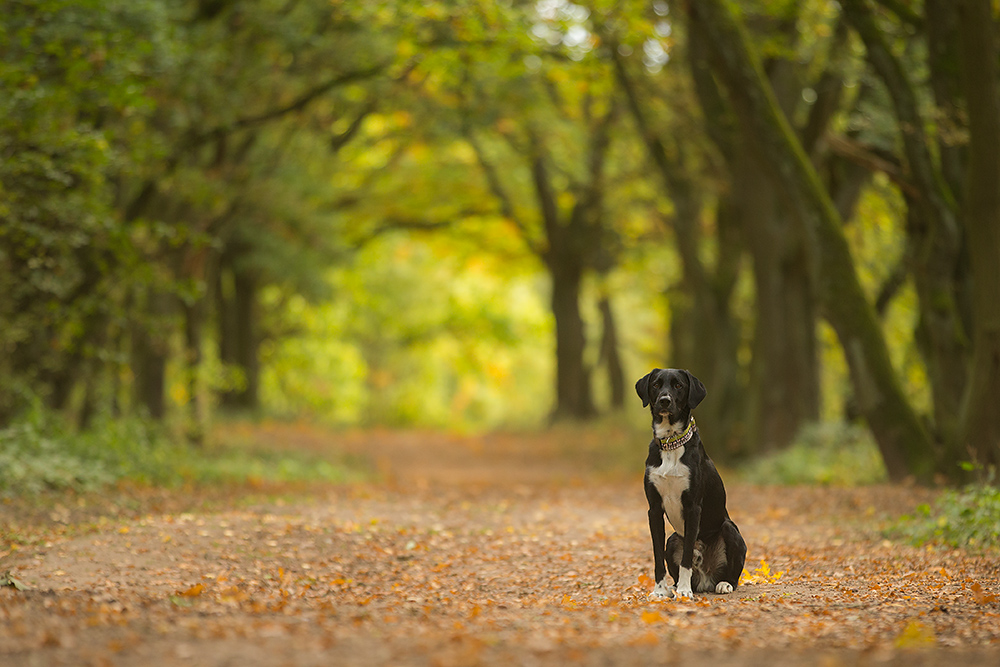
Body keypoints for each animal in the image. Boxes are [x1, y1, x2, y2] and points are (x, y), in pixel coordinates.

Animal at [636, 368, 748, 604]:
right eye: (656, 384)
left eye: (679, 385)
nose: (665, 400)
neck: (671, 444)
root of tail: (706, 579)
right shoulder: (654, 509)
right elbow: (657, 556)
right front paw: (660, 590)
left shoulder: (693, 507)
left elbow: (687, 556)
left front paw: (685, 591)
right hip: (672, 539)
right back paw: (674, 586)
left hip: (730, 529)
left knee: (732, 575)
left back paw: (722, 584)